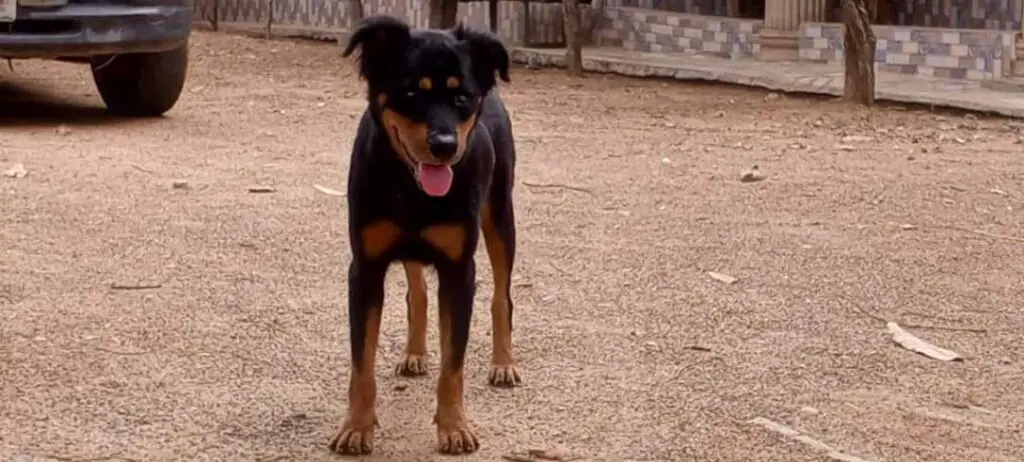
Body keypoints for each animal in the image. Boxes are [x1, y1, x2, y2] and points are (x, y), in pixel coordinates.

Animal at [327, 13, 520, 454]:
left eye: (462, 97)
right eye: (412, 92)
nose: (445, 145)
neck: (411, 188)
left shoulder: (459, 269)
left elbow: (454, 364)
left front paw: (454, 427)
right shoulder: (365, 269)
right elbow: (362, 362)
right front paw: (356, 427)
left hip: (501, 216)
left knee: (502, 296)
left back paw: (503, 363)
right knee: (417, 290)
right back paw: (415, 353)